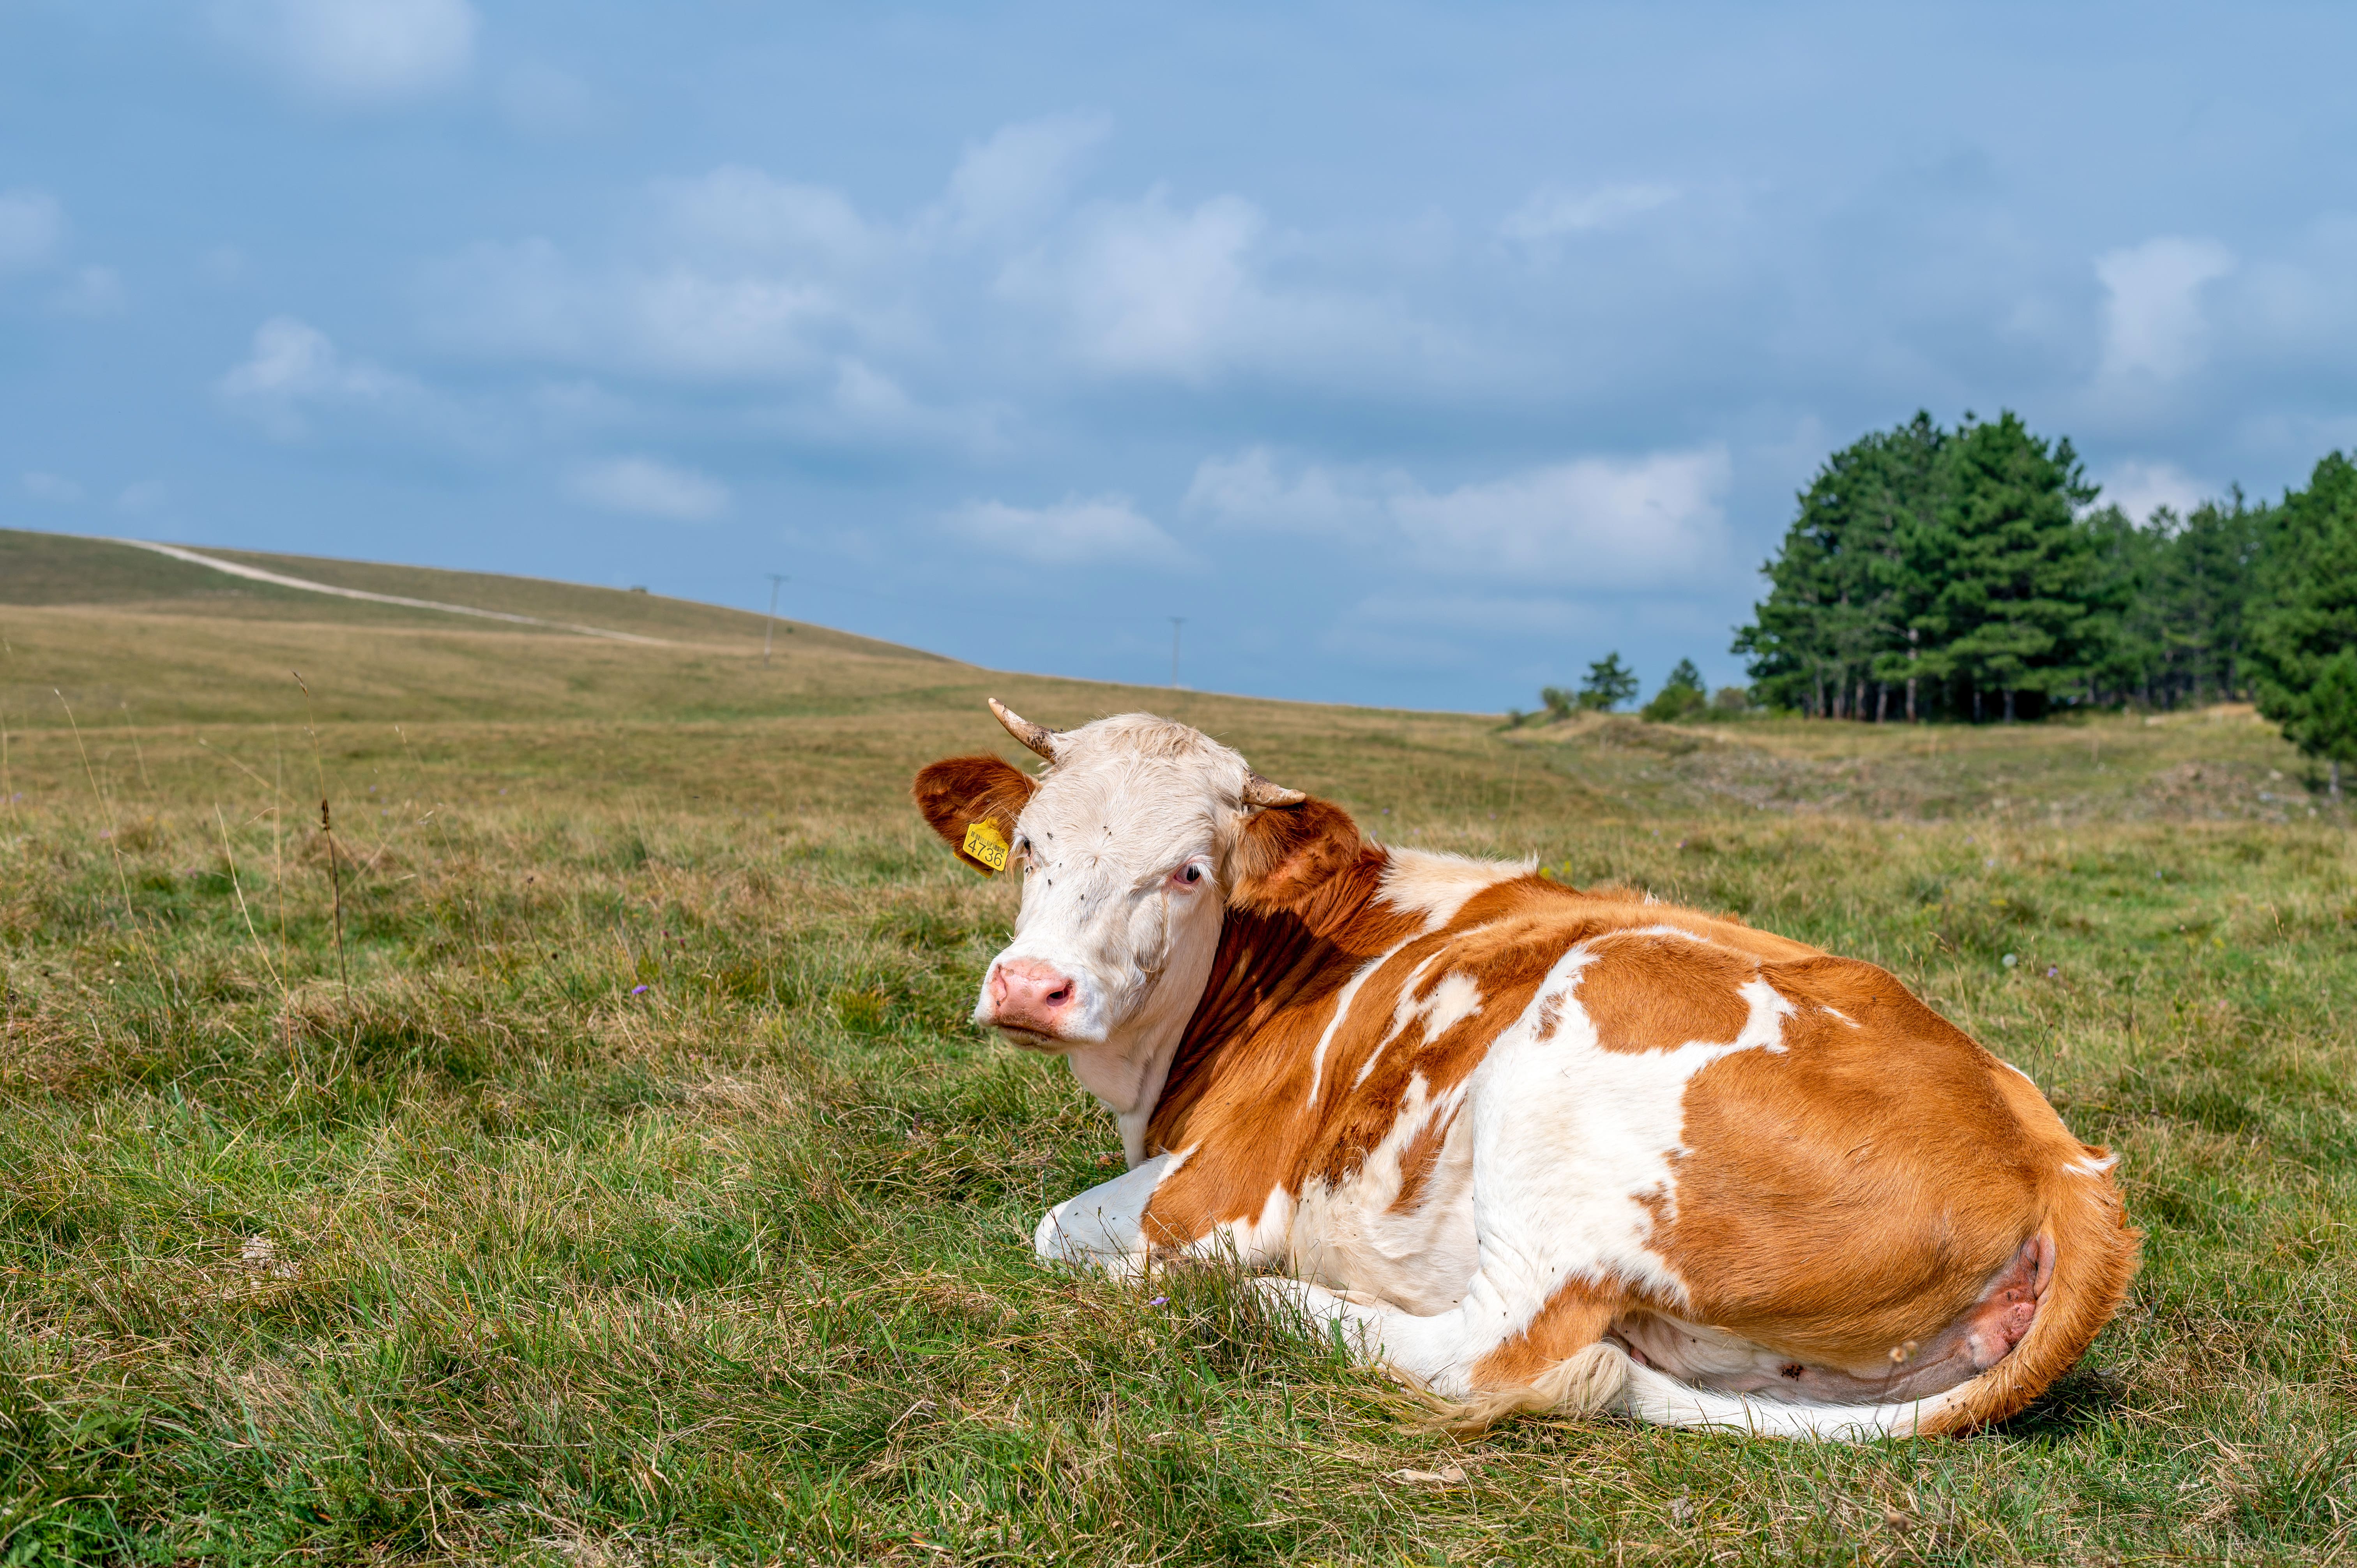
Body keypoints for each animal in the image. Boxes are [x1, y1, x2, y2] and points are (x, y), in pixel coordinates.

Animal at [912, 701, 2139, 1439]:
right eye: (1031, 844)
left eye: (1187, 870)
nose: (1032, 986)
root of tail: (2057, 1154)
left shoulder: (1224, 1184)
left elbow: (1058, 1232)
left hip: (1582, 1070)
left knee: (1503, 1353)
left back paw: (1265, 1304)